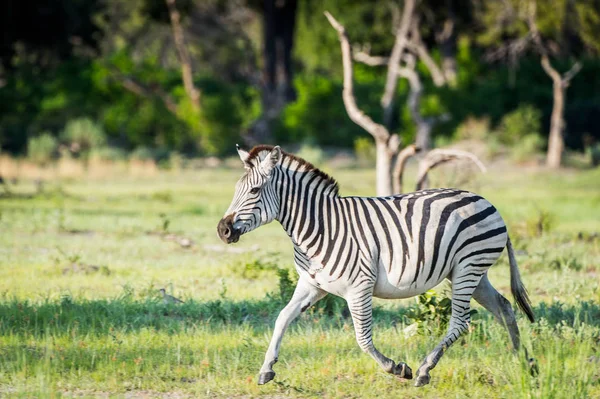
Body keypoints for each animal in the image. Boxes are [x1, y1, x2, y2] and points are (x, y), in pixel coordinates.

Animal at [217, 144, 536, 388]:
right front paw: (266, 369)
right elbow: (282, 318)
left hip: (468, 267)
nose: (223, 230)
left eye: (255, 190)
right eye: (236, 189)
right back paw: (525, 362)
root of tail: (486, 202)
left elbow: (362, 338)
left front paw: (397, 368)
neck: (320, 227)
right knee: (504, 307)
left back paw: (424, 371)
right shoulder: (312, 285)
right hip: (470, 273)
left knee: (461, 321)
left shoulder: (359, 286)